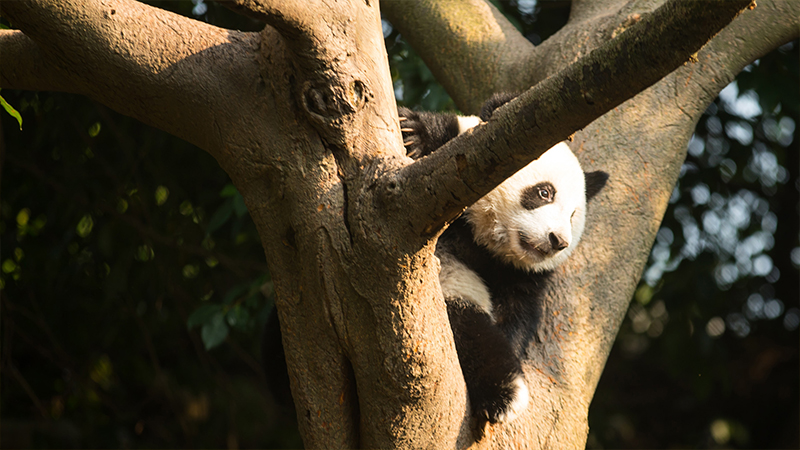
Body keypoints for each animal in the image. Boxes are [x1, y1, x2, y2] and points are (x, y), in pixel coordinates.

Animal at [399, 93, 608, 427]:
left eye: (573, 216)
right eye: (544, 192)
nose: (557, 241)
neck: (478, 237)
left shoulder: (518, 275)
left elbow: (516, 316)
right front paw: (414, 134)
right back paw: (505, 393)